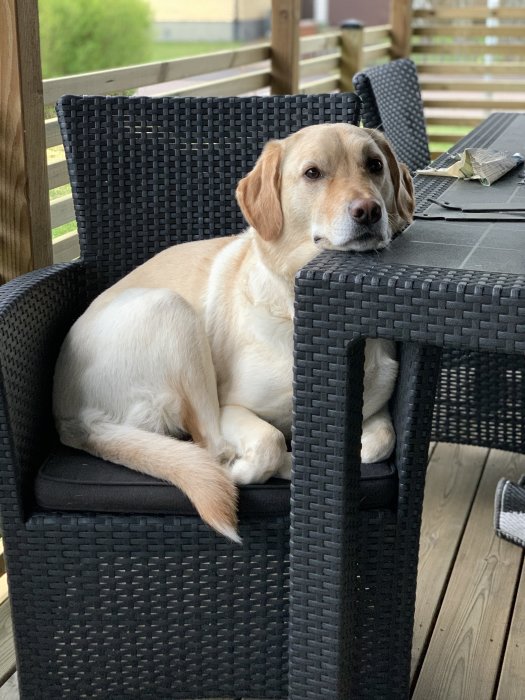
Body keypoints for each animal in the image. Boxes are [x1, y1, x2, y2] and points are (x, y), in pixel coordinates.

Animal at [52, 124, 414, 540]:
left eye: (374, 165)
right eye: (312, 173)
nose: (368, 211)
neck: (297, 313)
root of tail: (71, 417)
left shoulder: (376, 411)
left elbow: (379, 443)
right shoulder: (232, 408)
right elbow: (270, 440)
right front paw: (258, 466)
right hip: (172, 311)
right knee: (211, 447)